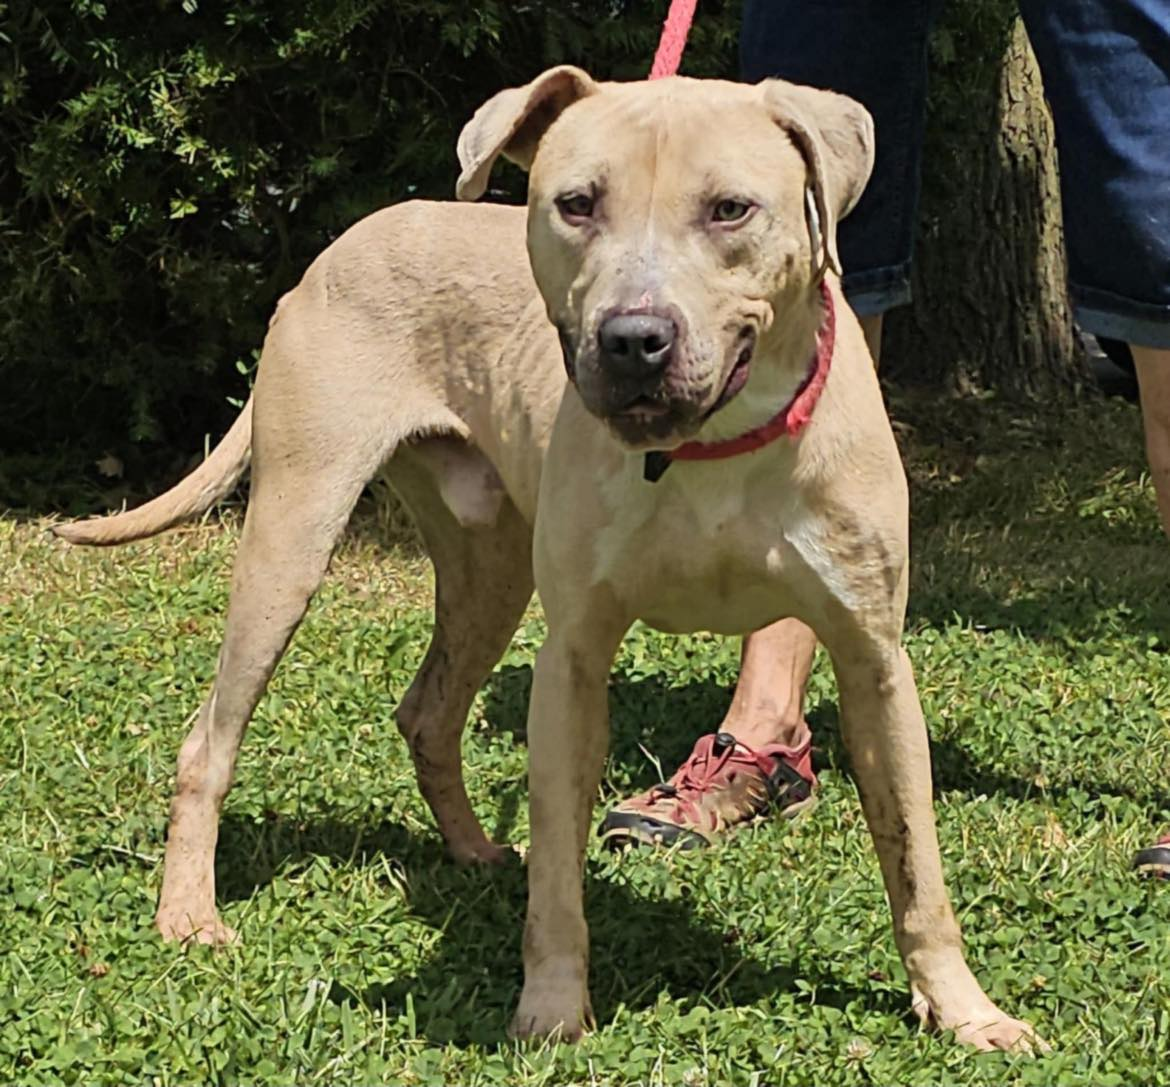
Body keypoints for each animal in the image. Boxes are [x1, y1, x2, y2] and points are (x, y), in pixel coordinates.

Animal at [59, 67, 1038, 1053]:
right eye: (577, 203)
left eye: (730, 209)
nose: (634, 338)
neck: (714, 448)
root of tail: (342, 244)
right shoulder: (572, 661)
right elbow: (561, 878)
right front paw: (554, 1007)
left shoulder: (875, 662)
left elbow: (917, 864)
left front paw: (965, 1009)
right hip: (292, 539)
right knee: (210, 739)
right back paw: (190, 912)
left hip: (490, 569)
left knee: (428, 710)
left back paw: (472, 848)